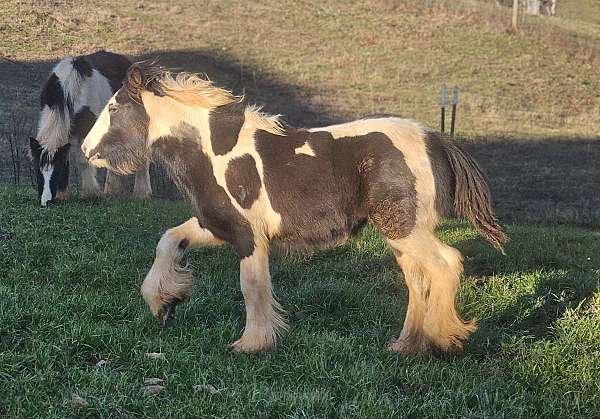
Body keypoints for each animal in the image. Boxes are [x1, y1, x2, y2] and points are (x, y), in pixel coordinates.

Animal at [82, 64, 508, 356]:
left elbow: (252, 286)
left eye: (114, 107)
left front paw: (251, 343)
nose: (86, 150)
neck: (212, 150)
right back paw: (406, 345)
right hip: (402, 235)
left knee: (446, 263)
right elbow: (168, 241)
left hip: (405, 231)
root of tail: (436, 138)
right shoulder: (217, 225)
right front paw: (164, 303)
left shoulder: (248, 236)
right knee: (418, 280)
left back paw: (445, 337)